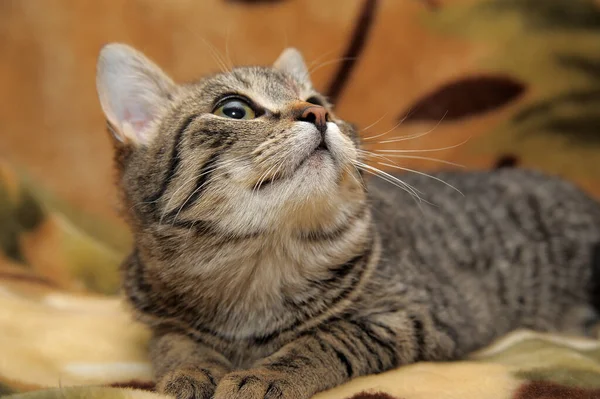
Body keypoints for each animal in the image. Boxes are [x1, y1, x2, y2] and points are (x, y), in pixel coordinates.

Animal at [94, 43, 600, 399]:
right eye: (234, 109)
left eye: (320, 101)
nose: (318, 114)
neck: (255, 270)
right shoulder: (162, 321)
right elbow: (174, 343)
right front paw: (192, 369)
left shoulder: (410, 317)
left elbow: (322, 340)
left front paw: (266, 375)